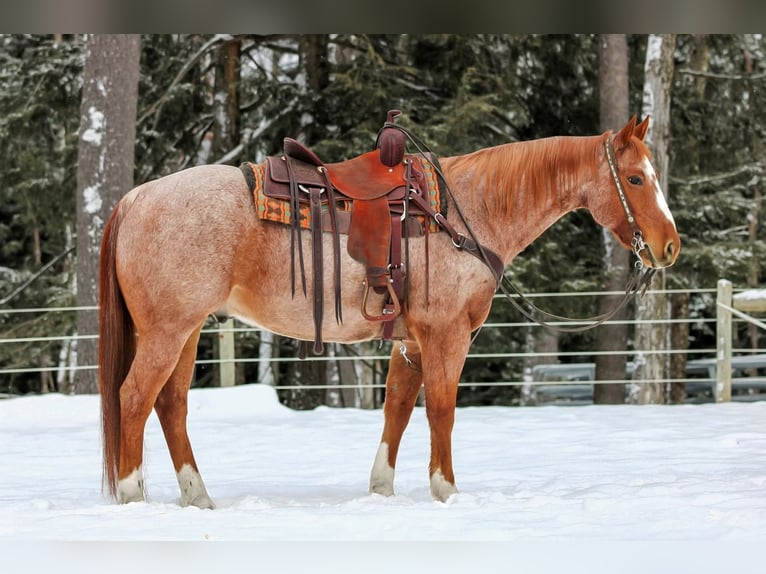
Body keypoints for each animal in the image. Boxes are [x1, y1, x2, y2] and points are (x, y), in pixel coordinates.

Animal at [98, 115, 679, 508]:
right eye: (635, 179)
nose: (669, 247)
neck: (466, 214)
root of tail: (135, 199)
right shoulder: (446, 335)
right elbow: (441, 410)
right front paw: (447, 491)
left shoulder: (411, 342)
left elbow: (397, 410)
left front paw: (381, 490)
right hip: (168, 331)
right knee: (134, 398)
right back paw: (132, 495)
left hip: (188, 330)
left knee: (170, 405)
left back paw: (197, 497)